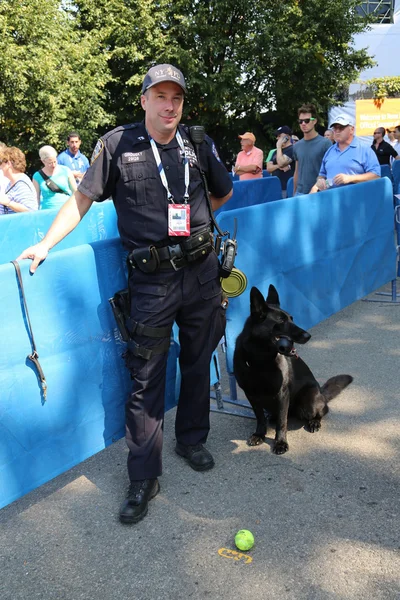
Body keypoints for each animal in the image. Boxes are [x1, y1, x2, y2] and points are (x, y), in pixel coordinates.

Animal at [233, 286, 352, 454]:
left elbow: (282, 422)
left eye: (292, 318)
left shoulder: (282, 394)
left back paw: (314, 421)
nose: (308, 335)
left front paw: (280, 442)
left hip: (309, 401)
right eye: (281, 321)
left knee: (323, 409)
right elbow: (260, 417)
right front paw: (259, 434)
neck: (261, 361)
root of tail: (321, 393)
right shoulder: (251, 395)